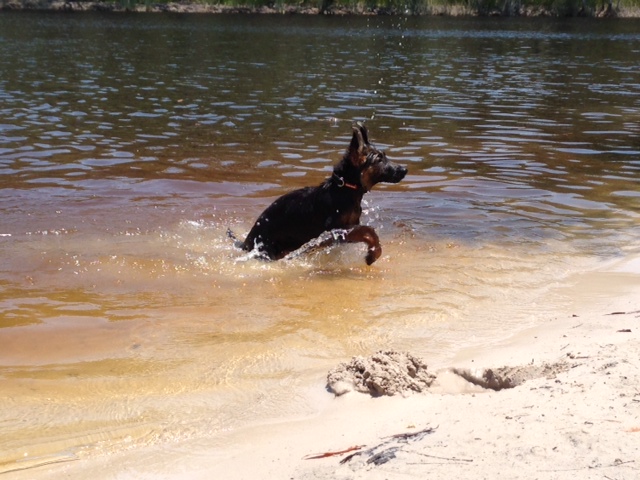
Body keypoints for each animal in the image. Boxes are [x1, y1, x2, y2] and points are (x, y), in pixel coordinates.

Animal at [232, 124, 408, 264]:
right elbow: (369, 231)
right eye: (379, 160)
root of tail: (247, 241)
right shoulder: (336, 230)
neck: (345, 189)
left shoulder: (343, 234)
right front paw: (373, 254)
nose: (405, 169)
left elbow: (365, 232)